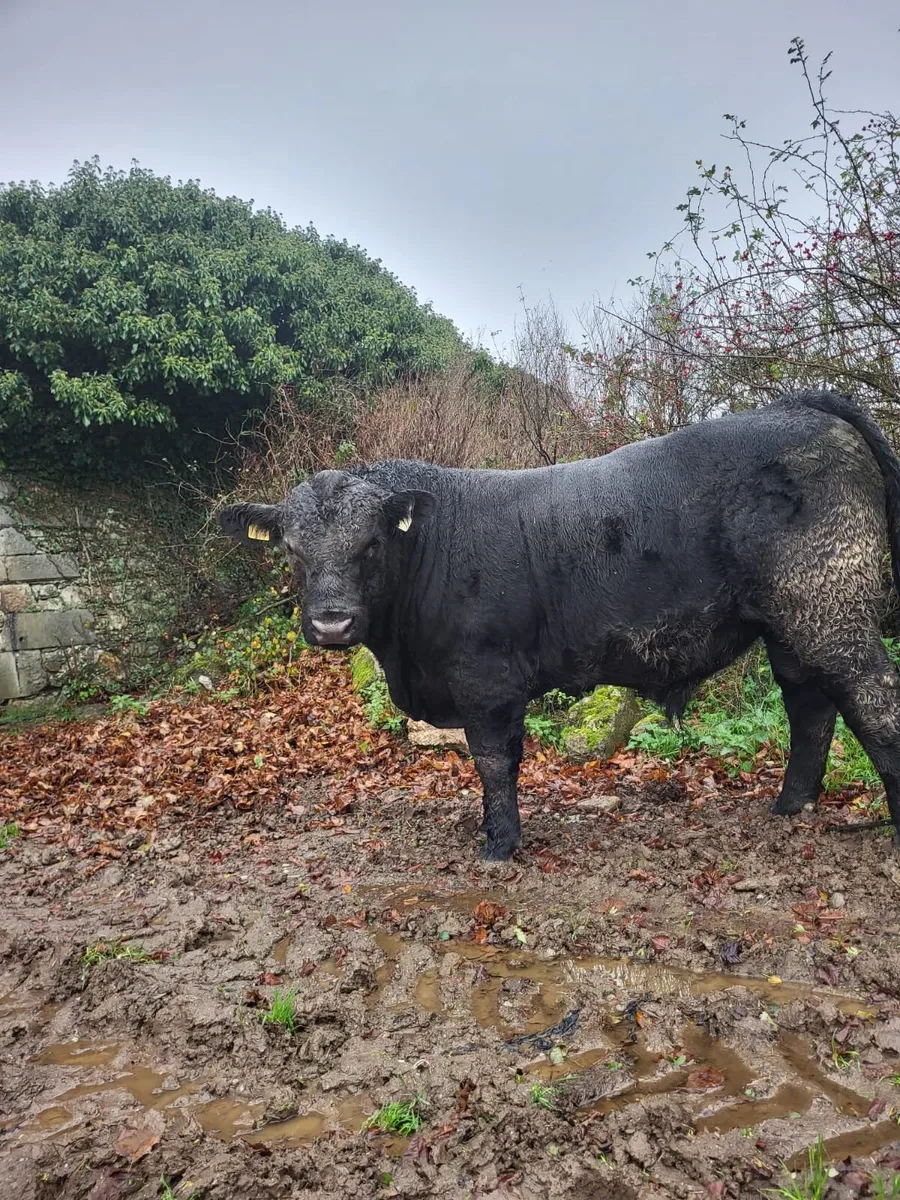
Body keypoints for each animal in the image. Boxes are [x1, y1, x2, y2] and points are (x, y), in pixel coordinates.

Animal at [219, 390, 900, 861]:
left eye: (372, 544)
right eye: (292, 550)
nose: (332, 623)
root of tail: (800, 405)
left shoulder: (486, 677)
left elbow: (495, 760)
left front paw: (499, 845)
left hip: (830, 610)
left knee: (873, 706)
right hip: (792, 627)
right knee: (810, 707)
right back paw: (790, 807)